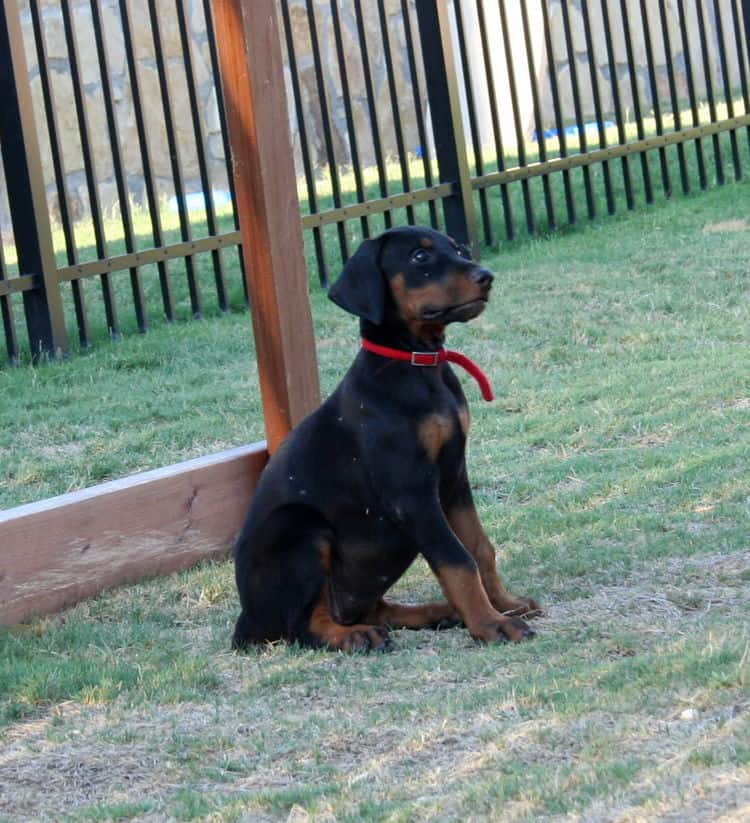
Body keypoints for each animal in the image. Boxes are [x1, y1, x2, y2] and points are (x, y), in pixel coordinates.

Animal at [234, 225, 540, 652]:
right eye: (419, 257)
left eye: (457, 248)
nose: (486, 276)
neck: (418, 364)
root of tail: (245, 622)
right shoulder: (411, 492)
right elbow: (456, 560)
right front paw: (491, 624)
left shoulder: (455, 477)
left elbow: (479, 548)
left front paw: (505, 604)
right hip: (297, 526)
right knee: (305, 625)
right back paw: (356, 636)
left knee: (371, 608)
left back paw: (437, 612)